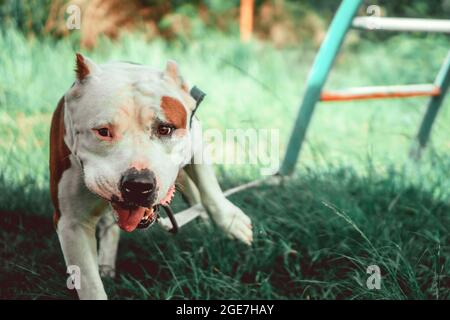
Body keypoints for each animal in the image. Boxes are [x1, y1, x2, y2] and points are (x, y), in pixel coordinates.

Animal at [50, 53, 253, 298]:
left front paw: (231, 221)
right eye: (103, 132)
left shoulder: (195, 137)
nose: (138, 184)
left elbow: (209, 185)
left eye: (165, 129)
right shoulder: (72, 223)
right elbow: (90, 285)